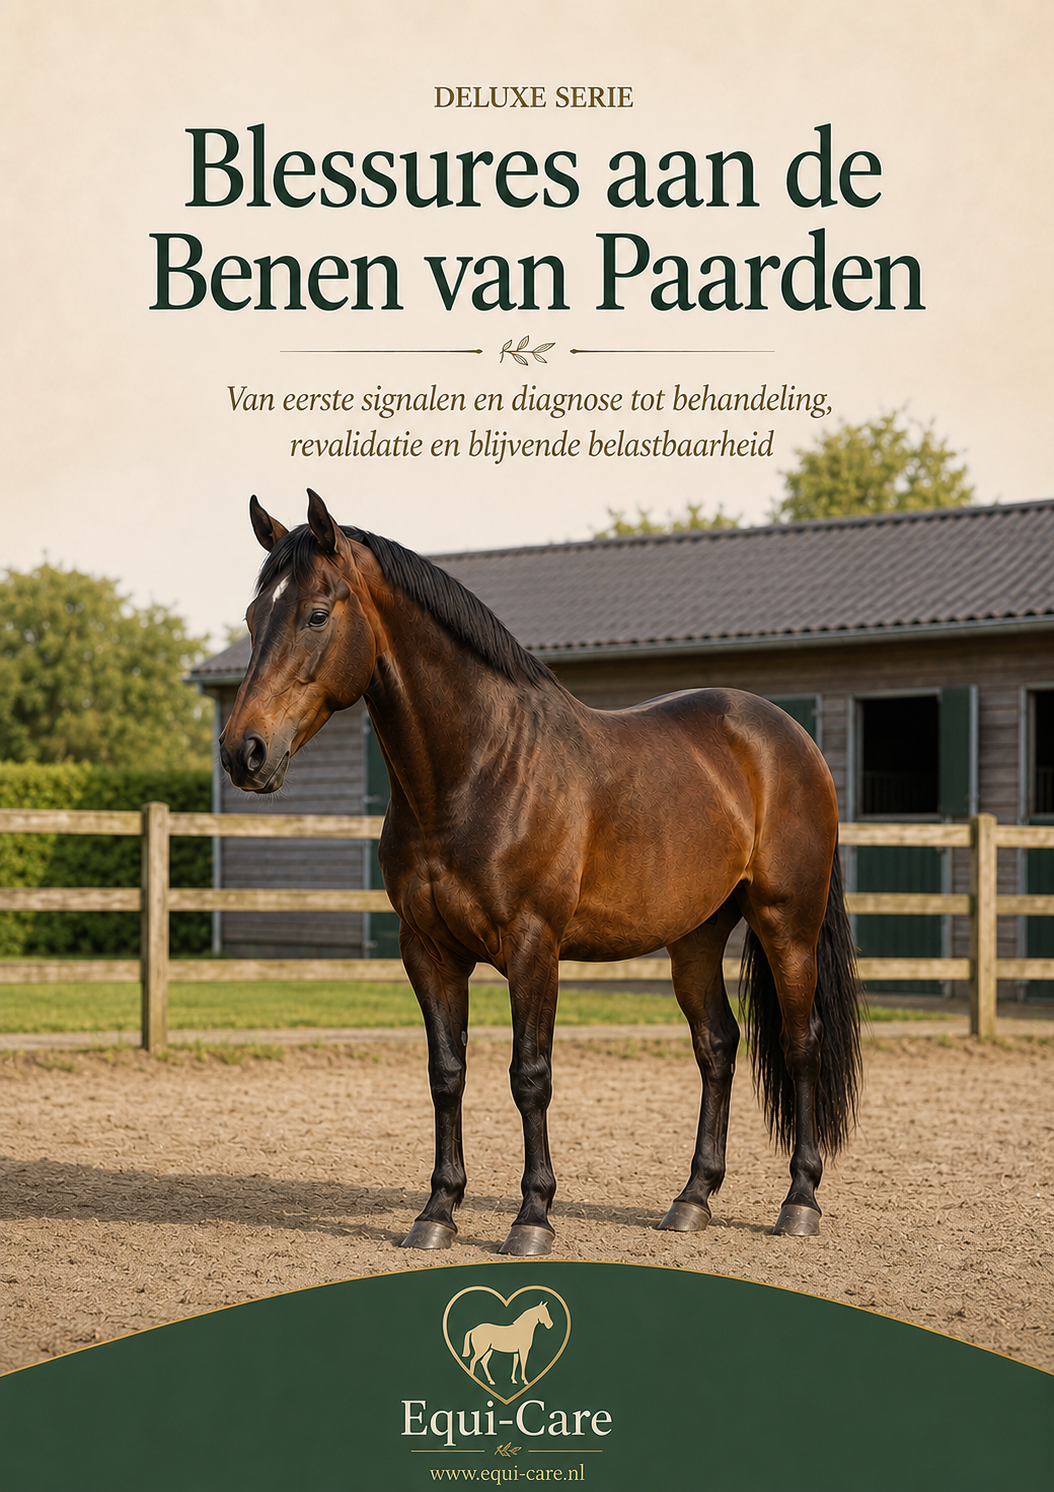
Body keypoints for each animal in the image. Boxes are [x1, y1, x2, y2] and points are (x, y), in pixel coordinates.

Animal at [220, 489, 861, 1257]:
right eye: (253, 617)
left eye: (316, 613)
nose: (244, 752)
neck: (477, 773)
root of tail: (791, 740)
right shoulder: (427, 951)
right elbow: (446, 1074)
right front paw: (437, 1211)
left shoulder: (533, 948)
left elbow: (530, 1076)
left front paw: (532, 1217)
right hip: (697, 936)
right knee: (717, 1046)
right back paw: (692, 1200)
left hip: (785, 925)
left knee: (800, 1044)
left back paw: (799, 1202)